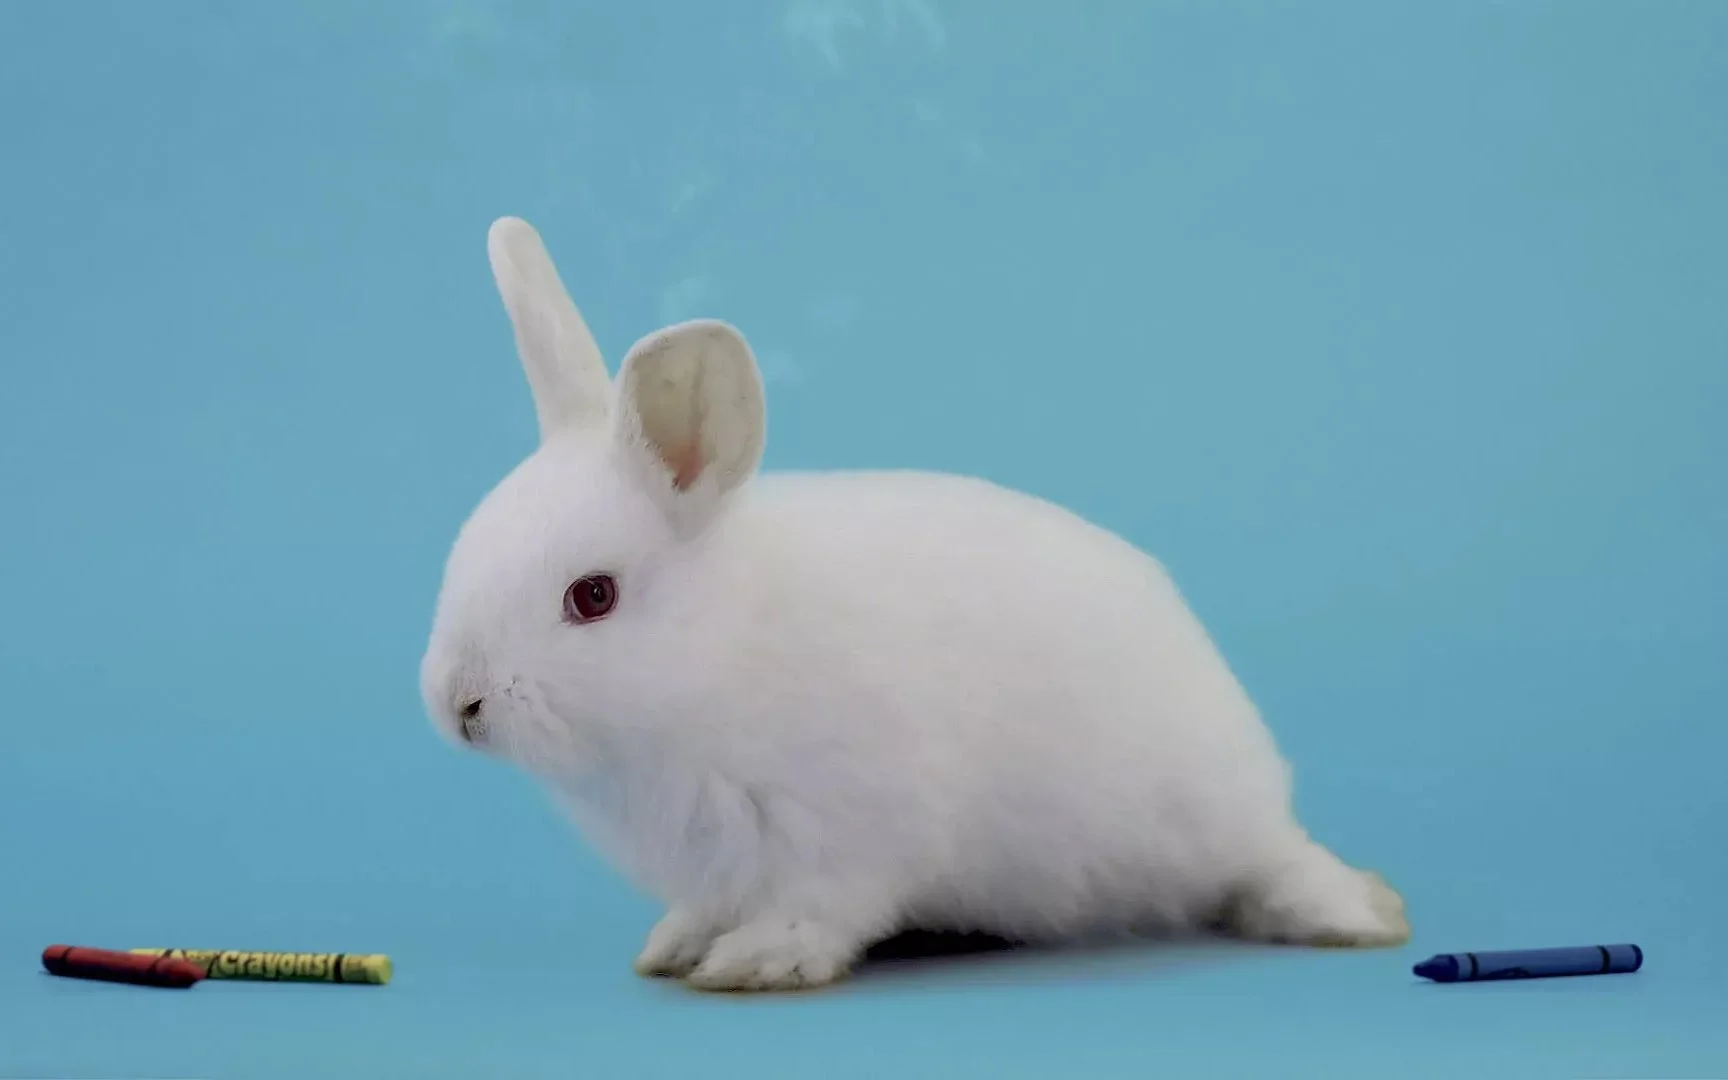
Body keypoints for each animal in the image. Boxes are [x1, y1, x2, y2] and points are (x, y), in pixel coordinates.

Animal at [419, 216, 1410, 992]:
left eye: (593, 597)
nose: (457, 705)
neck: (717, 658)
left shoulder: (843, 837)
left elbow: (819, 912)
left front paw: (756, 963)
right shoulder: (720, 867)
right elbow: (703, 910)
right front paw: (675, 948)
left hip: (1217, 818)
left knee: (1272, 867)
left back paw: (1361, 914)